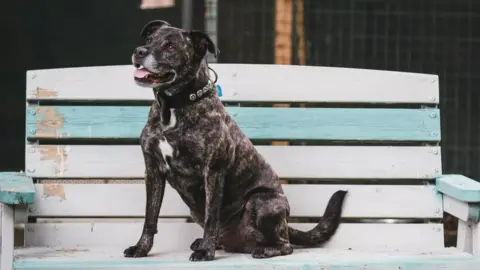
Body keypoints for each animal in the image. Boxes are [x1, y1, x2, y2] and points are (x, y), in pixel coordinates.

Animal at [124, 19, 346, 262]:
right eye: (148, 40)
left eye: (171, 46)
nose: (139, 51)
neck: (172, 106)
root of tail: (286, 225)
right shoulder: (153, 171)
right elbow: (150, 217)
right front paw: (141, 248)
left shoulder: (213, 172)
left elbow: (212, 216)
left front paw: (206, 251)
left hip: (261, 202)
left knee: (285, 245)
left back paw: (262, 249)